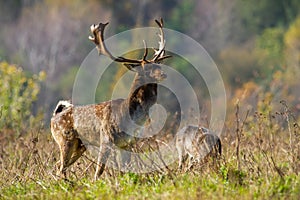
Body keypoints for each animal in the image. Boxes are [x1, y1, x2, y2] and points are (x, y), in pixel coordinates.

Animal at [51, 19, 171, 180]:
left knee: (59, 166)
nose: (164, 74)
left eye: (158, 65)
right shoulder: (106, 138)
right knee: (61, 167)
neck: (129, 116)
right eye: (146, 68)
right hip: (65, 139)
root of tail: (54, 116)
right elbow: (99, 171)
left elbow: (126, 167)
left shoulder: (128, 143)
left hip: (80, 146)